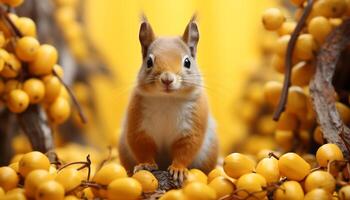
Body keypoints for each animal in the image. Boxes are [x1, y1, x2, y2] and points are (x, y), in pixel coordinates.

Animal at [119, 14, 219, 182]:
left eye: (187, 62)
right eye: (149, 62)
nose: (167, 79)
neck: (167, 99)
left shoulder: (192, 126)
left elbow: (186, 149)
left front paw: (178, 169)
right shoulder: (138, 124)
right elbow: (142, 146)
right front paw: (146, 164)